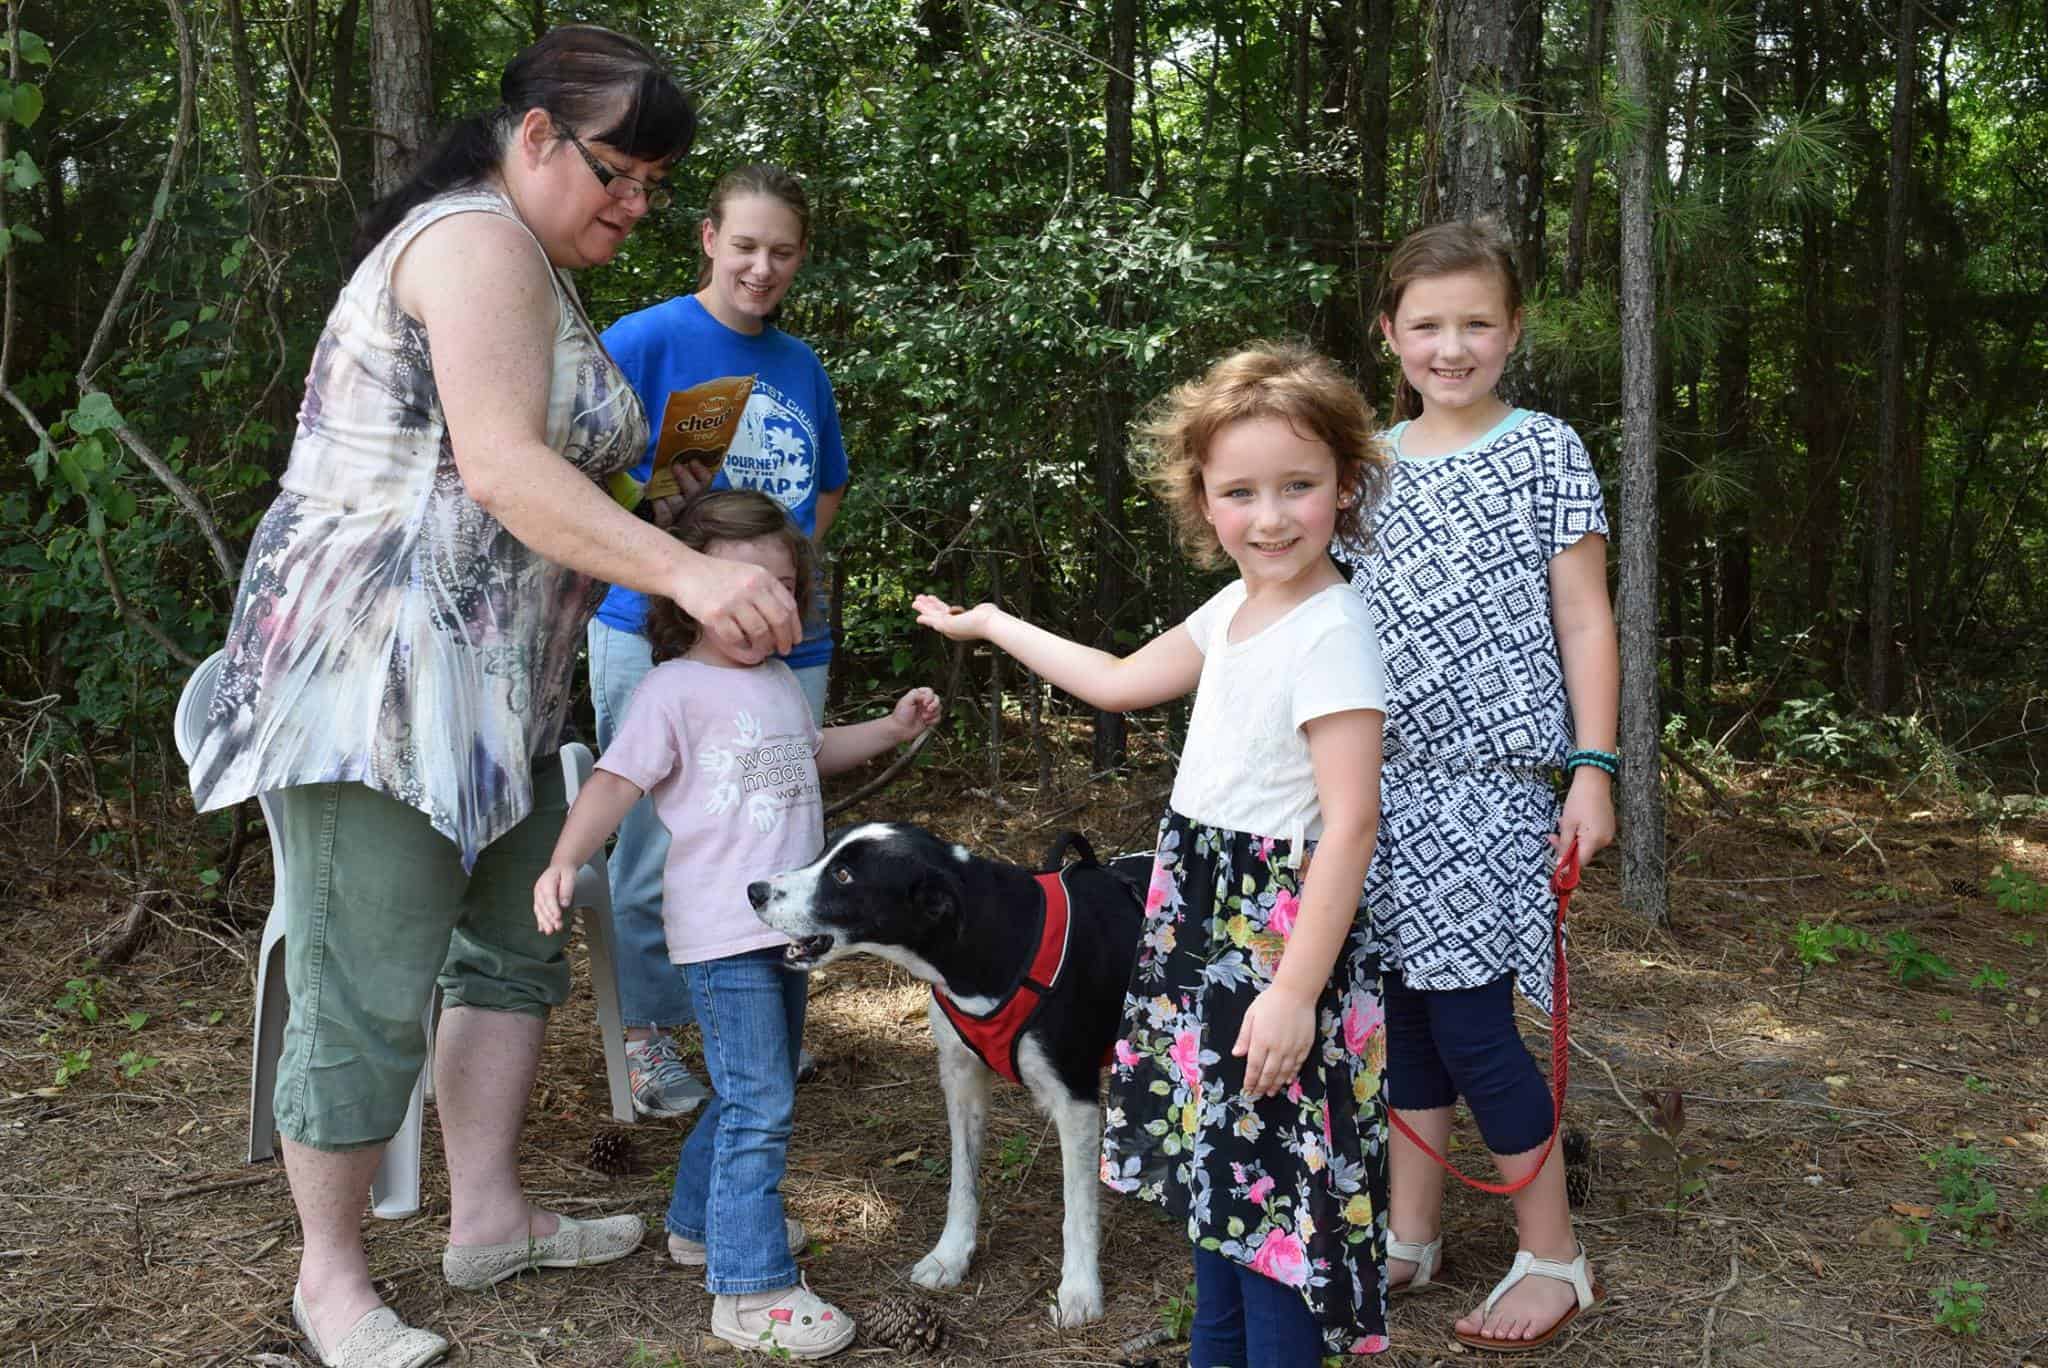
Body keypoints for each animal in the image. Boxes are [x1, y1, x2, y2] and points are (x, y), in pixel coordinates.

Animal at [749, 823, 1155, 1327]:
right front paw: (951, 1256)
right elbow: (962, 1183)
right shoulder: (961, 1079)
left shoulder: (1074, 1098)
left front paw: (1079, 1290)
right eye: (823, 852)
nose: (754, 891)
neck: (992, 940)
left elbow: (1076, 1207)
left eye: (843, 875)